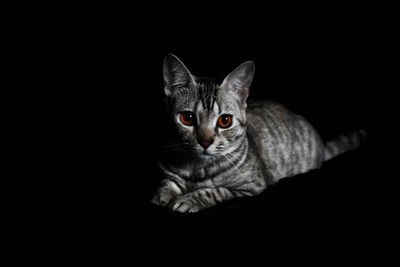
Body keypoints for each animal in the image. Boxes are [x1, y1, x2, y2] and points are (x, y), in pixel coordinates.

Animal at [151, 54, 366, 214]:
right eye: (187, 118)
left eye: (224, 121)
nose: (205, 141)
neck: (196, 168)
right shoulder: (169, 173)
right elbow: (167, 184)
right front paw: (161, 196)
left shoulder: (252, 186)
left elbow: (215, 191)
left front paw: (189, 199)